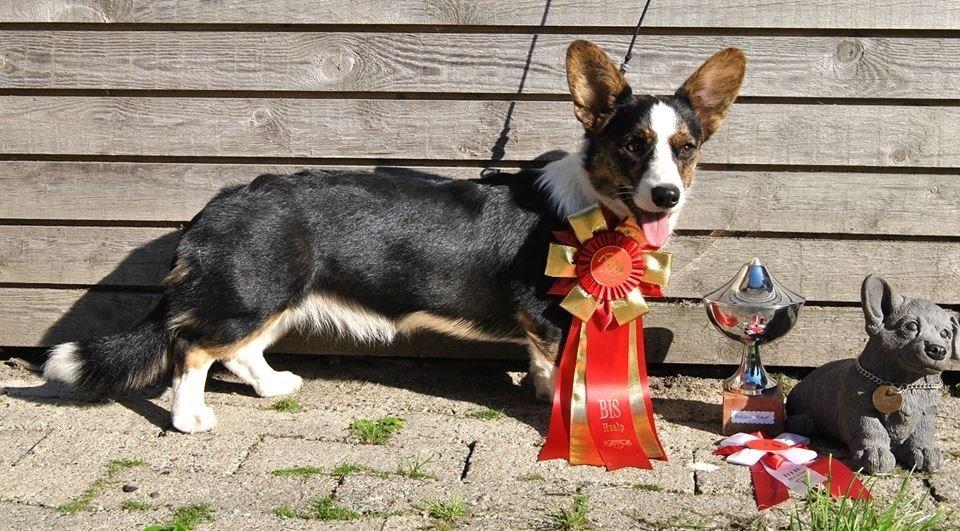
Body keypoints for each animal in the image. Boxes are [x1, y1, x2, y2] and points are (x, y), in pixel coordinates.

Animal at [45, 40, 748, 432]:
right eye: (632, 147)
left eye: (685, 149)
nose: (668, 195)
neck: (592, 204)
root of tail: (216, 208)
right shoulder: (548, 311)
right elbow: (561, 364)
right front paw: (568, 412)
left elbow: (544, 366)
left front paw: (548, 395)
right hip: (251, 293)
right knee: (192, 349)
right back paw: (191, 420)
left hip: (276, 296)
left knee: (241, 351)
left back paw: (275, 387)